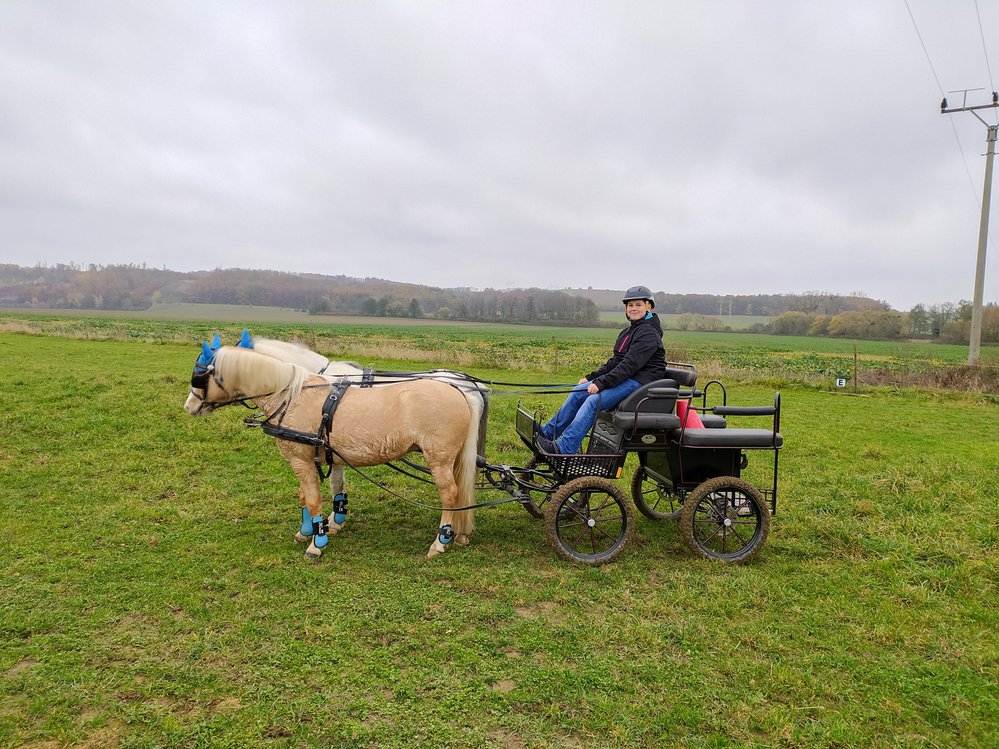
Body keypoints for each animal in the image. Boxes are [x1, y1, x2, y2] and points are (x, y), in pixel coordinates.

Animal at [188, 344, 488, 556]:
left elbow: (312, 499)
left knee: (450, 494)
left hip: (439, 458)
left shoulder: (301, 459)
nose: (189, 406)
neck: (291, 396)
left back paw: (440, 540)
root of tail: (460, 390)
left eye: (200, 375)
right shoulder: (316, 457)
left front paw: (316, 541)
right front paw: (309, 529)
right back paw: (456, 533)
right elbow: (312, 493)